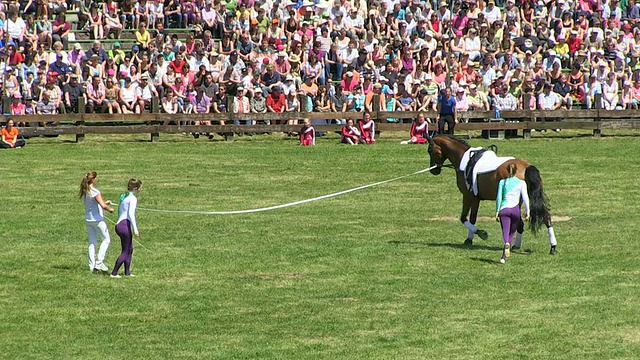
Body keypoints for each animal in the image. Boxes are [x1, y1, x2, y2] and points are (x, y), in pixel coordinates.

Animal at [428, 134, 556, 255]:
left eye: (430, 150)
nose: (433, 171)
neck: (466, 160)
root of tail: (527, 167)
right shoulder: (476, 198)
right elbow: (473, 218)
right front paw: (469, 239)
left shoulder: (467, 195)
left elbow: (463, 218)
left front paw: (481, 233)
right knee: (545, 217)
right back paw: (551, 247)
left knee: (520, 222)